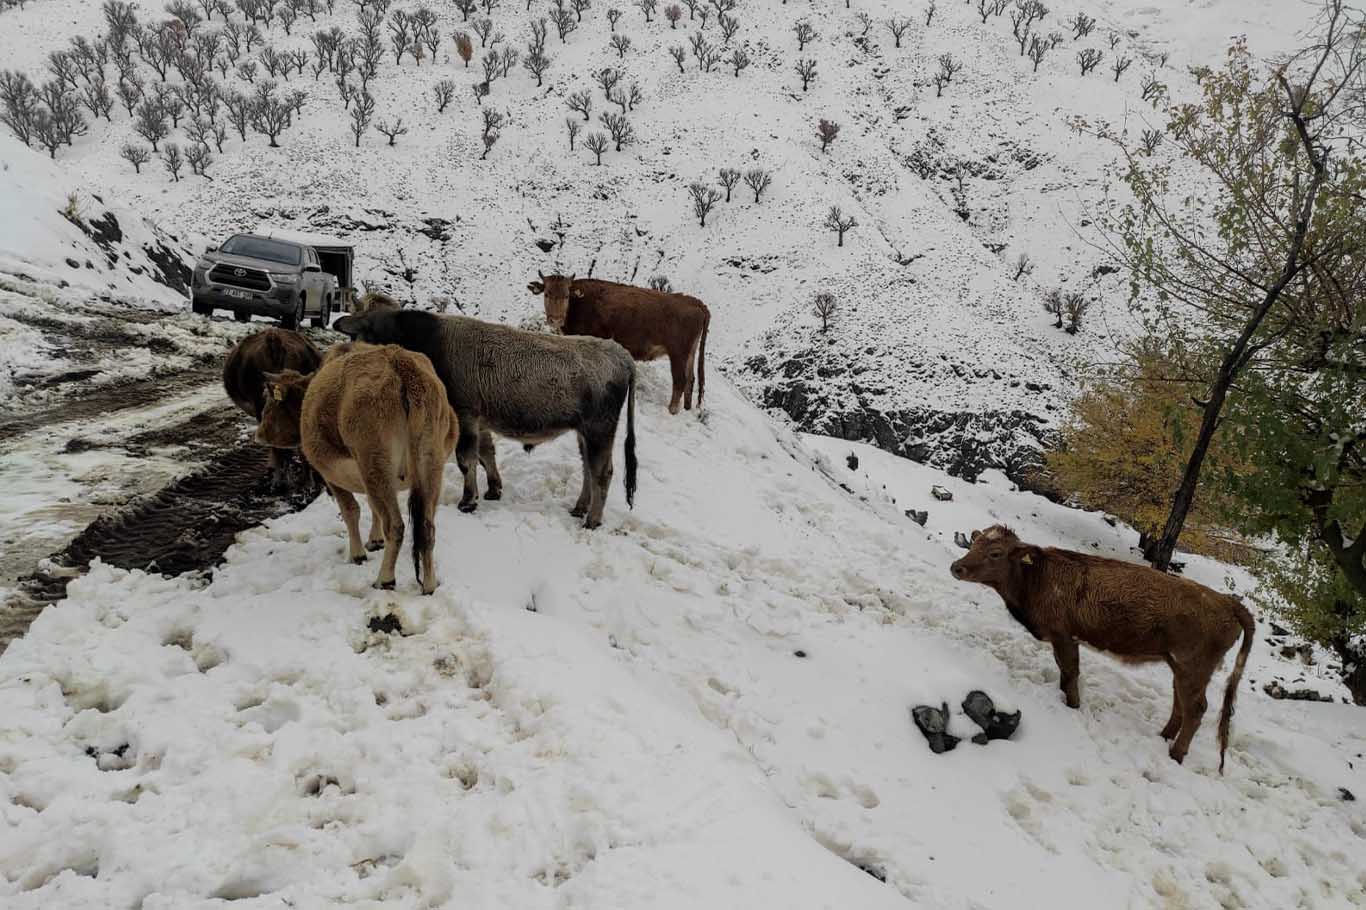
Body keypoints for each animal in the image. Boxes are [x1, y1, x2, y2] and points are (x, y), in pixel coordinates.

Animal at [258, 344, 461, 593]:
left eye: (268, 400)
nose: (259, 433)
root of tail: (400, 362)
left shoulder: (331, 474)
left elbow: (350, 510)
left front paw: (357, 554)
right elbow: (373, 507)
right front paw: (375, 540)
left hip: (373, 462)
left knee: (396, 525)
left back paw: (385, 579)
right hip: (429, 465)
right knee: (426, 527)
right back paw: (430, 585)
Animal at [338, 308, 642, 527]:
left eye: (370, 327)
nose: (339, 323)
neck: (432, 343)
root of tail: (623, 356)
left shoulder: (465, 414)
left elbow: (466, 460)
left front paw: (468, 501)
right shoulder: (480, 420)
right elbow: (486, 454)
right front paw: (494, 490)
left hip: (599, 428)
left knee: (602, 472)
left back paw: (592, 520)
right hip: (585, 432)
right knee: (588, 468)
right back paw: (580, 508)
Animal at [524, 273, 710, 415]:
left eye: (566, 296)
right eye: (546, 294)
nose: (555, 319)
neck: (580, 301)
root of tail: (694, 302)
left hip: (678, 354)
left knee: (680, 381)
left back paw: (672, 410)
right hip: (690, 353)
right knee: (691, 380)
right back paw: (686, 408)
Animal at [950, 527, 1256, 770]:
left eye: (996, 553)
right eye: (975, 544)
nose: (957, 567)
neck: (1039, 576)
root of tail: (1227, 601)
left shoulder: (1064, 636)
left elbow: (1070, 673)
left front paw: (1073, 705)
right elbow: (1064, 673)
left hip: (1192, 668)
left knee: (1196, 709)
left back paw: (1176, 754)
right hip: (1179, 668)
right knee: (1180, 703)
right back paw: (1163, 737)